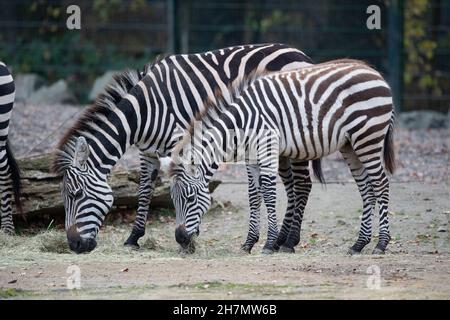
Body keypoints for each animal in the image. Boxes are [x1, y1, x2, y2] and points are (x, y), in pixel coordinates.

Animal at [51, 43, 316, 254]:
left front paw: (190, 236)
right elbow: (144, 190)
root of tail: (298, 51)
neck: (144, 112)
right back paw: (281, 239)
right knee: (291, 186)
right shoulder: (147, 152)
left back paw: (290, 242)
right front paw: (134, 237)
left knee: (303, 184)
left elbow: (185, 184)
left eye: (76, 195)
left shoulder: (181, 142)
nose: (74, 245)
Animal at [171, 58, 396, 255]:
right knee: (366, 189)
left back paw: (381, 244)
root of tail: (377, 74)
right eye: (172, 199)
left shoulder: (267, 149)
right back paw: (359, 244)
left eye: (190, 198)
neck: (242, 121)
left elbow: (269, 193)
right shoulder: (251, 158)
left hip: (368, 137)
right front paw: (249, 243)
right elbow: (254, 196)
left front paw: (269, 243)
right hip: (350, 145)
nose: (180, 239)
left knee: (381, 184)